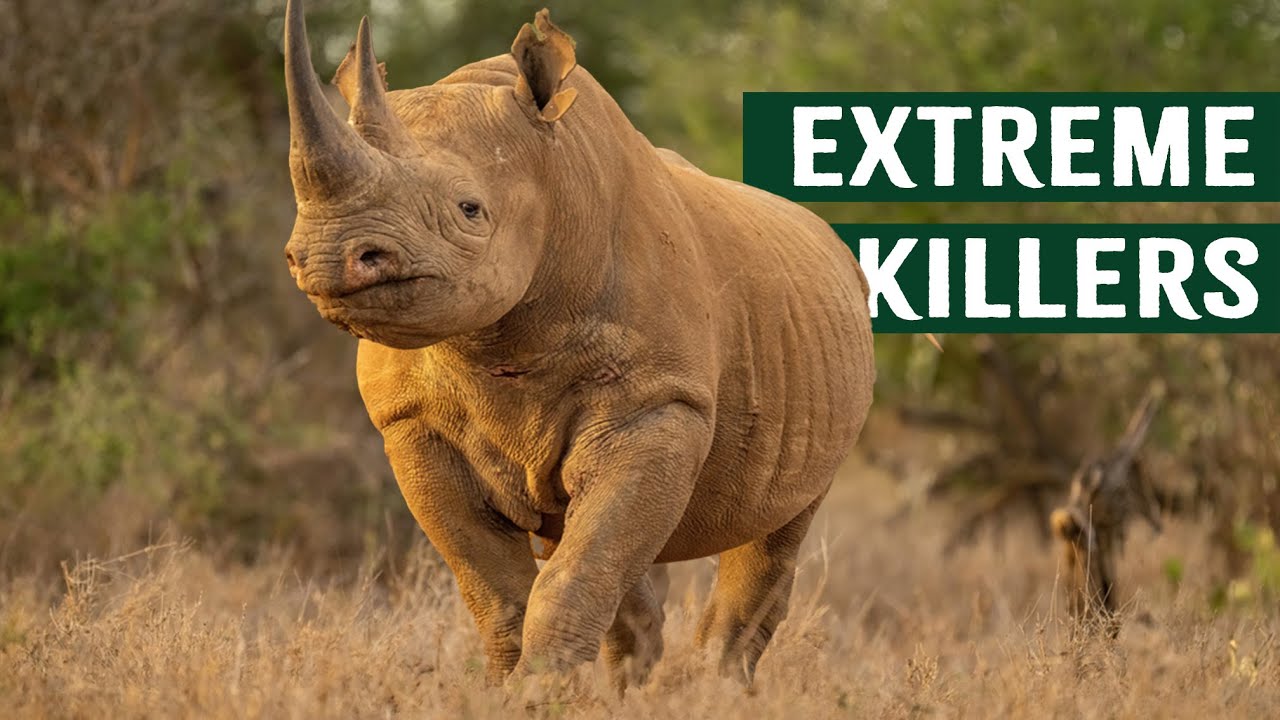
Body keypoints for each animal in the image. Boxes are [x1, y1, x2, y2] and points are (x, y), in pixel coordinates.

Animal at [281, 0, 875, 691]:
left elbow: (578, 572)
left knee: (777, 530)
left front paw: (536, 694)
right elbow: (497, 589)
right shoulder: (411, 421)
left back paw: (720, 690)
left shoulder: (658, 404)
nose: (327, 255)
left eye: (469, 209)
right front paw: (509, 692)